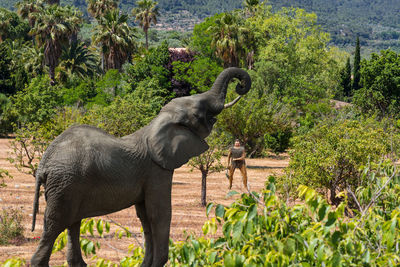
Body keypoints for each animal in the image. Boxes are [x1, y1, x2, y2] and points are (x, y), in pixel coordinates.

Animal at [30, 67, 250, 267]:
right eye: (199, 112)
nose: (240, 86)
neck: (157, 123)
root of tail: (44, 163)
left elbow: (144, 216)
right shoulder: (157, 170)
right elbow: (159, 213)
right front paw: (158, 263)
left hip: (68, 184)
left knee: (72, 224)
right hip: (65, 182)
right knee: (55, 224)